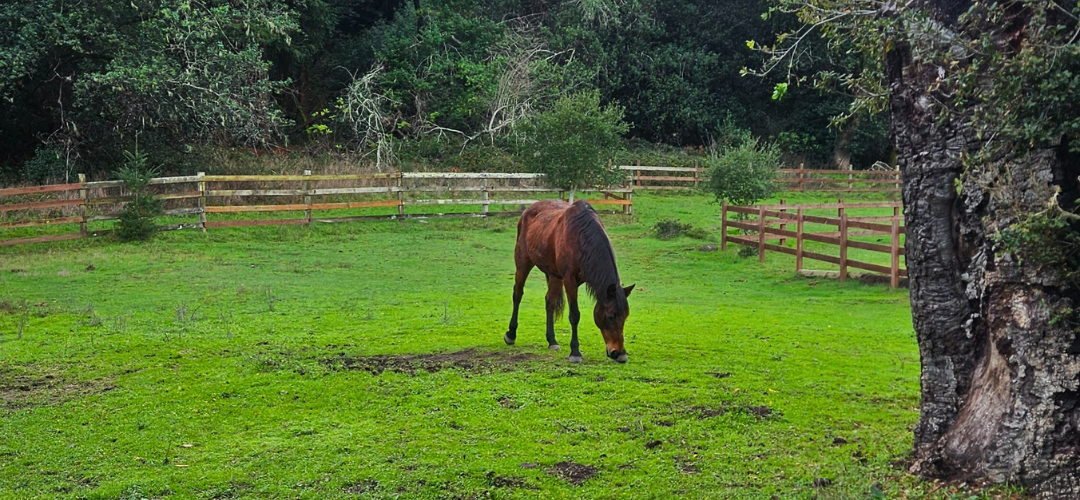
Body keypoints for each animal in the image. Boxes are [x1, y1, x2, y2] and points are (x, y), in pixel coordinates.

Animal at [503, 199, 634, 363]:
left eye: (625, 317)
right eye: (610, 316)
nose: (620, 354)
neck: (581, 237)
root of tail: (529, 209)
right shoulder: (569, 280)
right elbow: (574, 315)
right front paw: (575, 352)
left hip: (554, 275)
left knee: (550, 302)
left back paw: (552, 341)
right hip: (523, 263)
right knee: (518, 294)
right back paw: (511, 334)